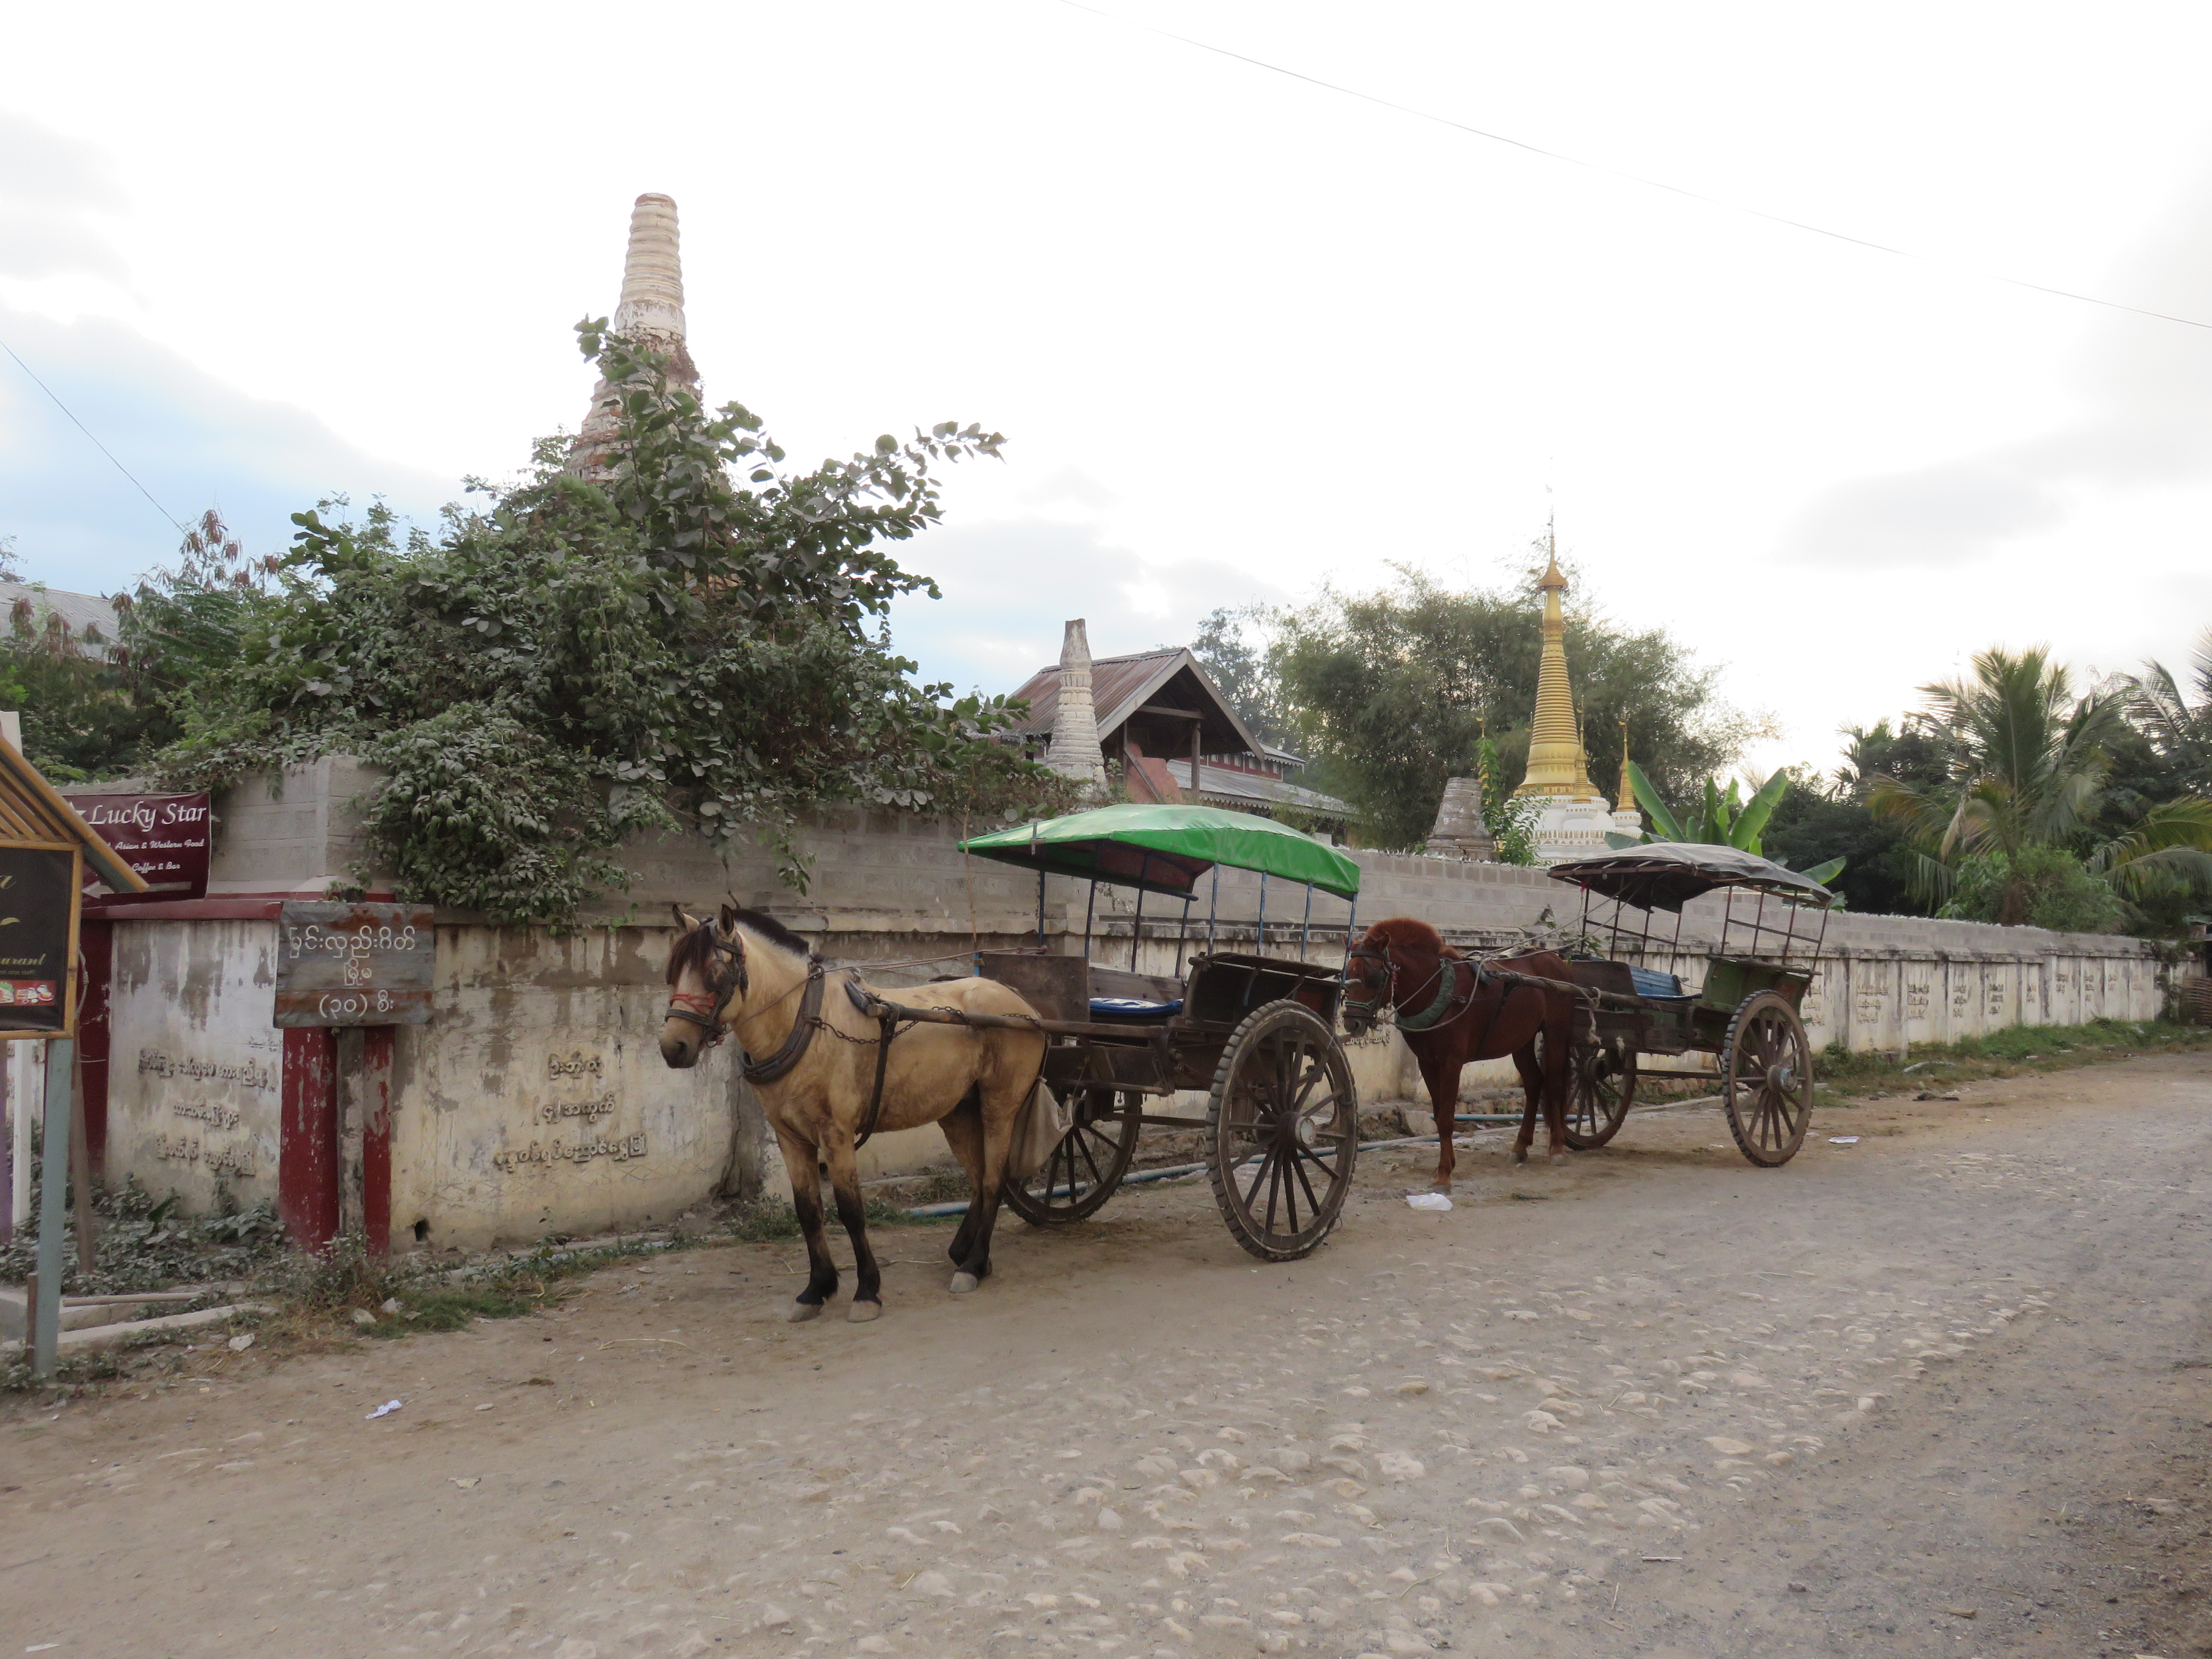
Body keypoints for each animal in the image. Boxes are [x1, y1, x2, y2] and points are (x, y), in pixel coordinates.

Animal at [659, 906, 1048, 1323]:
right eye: (672, 972)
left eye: (714, 975)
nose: (672, 1047)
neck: (803, 1021)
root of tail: (1022, 1005)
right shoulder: (790, 1138)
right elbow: (809, 1212)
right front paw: (816, 1290)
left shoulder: (837, 1135)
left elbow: (850, 1211)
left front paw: (867, 1292)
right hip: (957, 1112)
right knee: (977, 1178)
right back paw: (967, 1253)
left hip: (999, 1108)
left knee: (993, 1181)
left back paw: (973, 1265)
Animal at [1339, 916, 1582, 1186]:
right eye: (1348, 975)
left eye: (1372, 975)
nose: (1352, 1023)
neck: (1438, 990)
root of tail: (1554, 959)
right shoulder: (1427, 1063)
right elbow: (1438, 1115)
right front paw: (1446, 1164)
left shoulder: (1451, 1063)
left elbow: (1447, 1118)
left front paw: (1444, 1173)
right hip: (1522, 1040)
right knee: (1534, 1083)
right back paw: (1520, 1147)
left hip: (1556, 1035)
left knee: (1554, 1086)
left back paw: (1557, 1148)